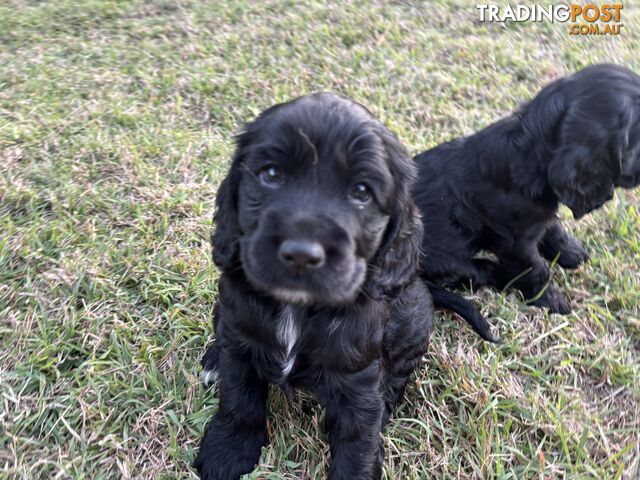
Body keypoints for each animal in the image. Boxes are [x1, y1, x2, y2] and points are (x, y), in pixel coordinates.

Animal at [196, 92, 436, 478]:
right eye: (271, 174)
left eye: (362, 192)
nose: (301, 254)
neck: (298, 307)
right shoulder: (241, 342)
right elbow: (238, 397)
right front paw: (227, 452)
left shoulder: (358, 376)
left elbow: (359, 438)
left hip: (415, 317)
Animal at [412, 63, 640, 316]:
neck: (529, 155)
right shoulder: (514, 242)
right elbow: (536, 269)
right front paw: (551, 300)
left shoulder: (540, 216)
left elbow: (555, 230)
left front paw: (572, 253)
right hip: (442, 261)